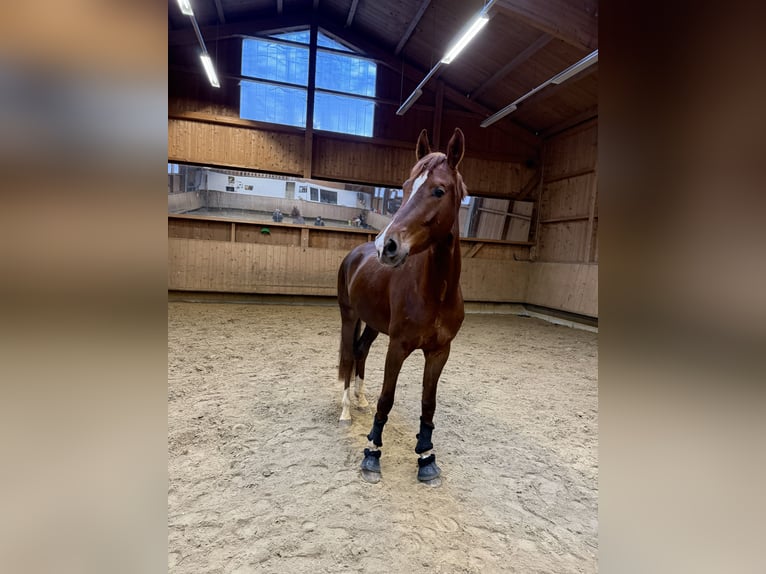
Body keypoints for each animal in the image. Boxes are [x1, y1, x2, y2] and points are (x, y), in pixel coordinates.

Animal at [336, 127, 467, 484]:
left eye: (439, 190)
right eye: (406, 187)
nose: (387, 245)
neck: (435, 293)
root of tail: (356, 253)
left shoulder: (439, 352)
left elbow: (428, 404)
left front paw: (426, 456)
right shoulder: (398, 346)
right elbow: (387, 398)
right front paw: (372, 454)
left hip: (371, 324)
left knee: (361, 351)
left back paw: (360, 399)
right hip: (348, 316)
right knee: (348, 355)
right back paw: (345, 409)